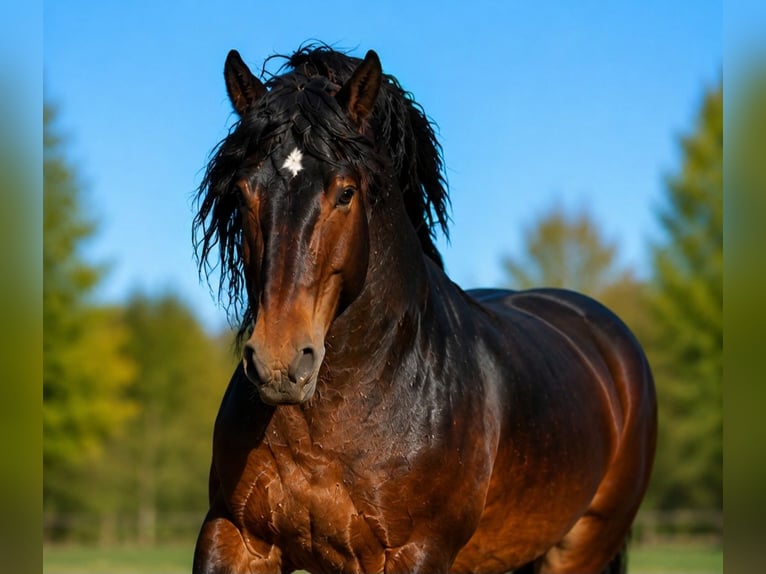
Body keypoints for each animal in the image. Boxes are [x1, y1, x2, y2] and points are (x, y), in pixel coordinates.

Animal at [191, 45, 657, 574]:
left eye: (345, 193)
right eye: (243, 193)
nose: (279, 362)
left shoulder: (415, 553)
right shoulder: (234, 535)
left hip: (582, 548)